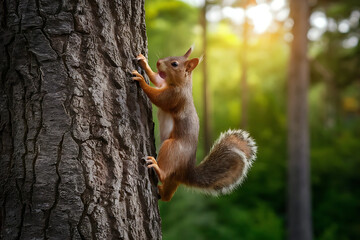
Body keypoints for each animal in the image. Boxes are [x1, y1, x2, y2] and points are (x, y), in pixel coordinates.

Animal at [132, 46, 256, 201]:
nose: (159, 62)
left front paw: (141, 79)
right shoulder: (163, 84)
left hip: (172, 149)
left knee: (164, 175)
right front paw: (143, 62)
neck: (181, 84)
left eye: (174, 64)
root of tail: (185, 172)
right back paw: (161, 192)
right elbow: (156, 79)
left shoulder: (175, 97)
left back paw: (156, 166)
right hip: (173, 180)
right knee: (167, 195)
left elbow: (157, 97)